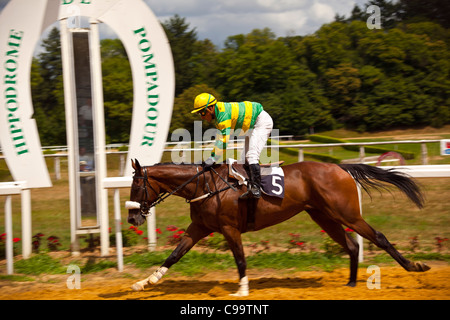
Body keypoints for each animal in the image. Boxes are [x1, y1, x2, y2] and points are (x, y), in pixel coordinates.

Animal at [126, 159, 428, 296]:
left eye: (137, 186)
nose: (132, 218)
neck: (206, 186)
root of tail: (339, 167)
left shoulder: (229, 228)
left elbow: (240, 259)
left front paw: (242, 290)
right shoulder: (199, 226)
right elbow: (174, 255)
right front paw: (145, 281)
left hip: (347, 213)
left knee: (378, 237)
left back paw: (415, 266)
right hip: (324, 216)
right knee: (352, 245)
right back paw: (351, 282)